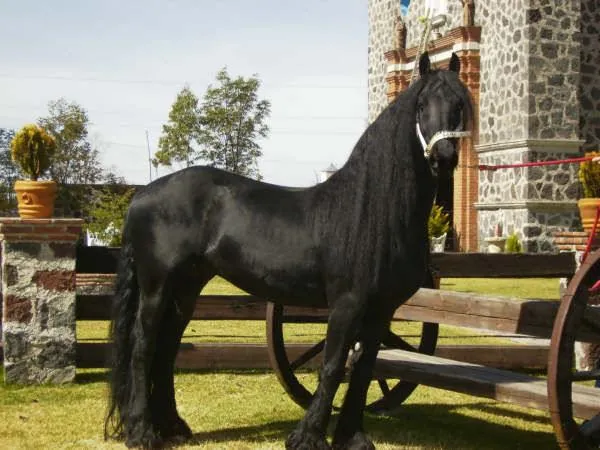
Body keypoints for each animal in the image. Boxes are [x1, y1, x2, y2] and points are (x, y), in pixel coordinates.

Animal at [106, 51, 474, 446]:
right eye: (421, 105)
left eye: (459, 104)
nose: (443, 157)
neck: (373, 212)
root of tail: (142, 195)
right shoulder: (347, 304)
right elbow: (333, 366)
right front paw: (307, 437)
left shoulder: (381, 311)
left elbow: (363, 369)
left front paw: (352, 437)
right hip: (157, 286)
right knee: (143, 348)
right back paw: (142, 432)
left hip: (187, 288)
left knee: (166, 349)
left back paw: (173, 427)